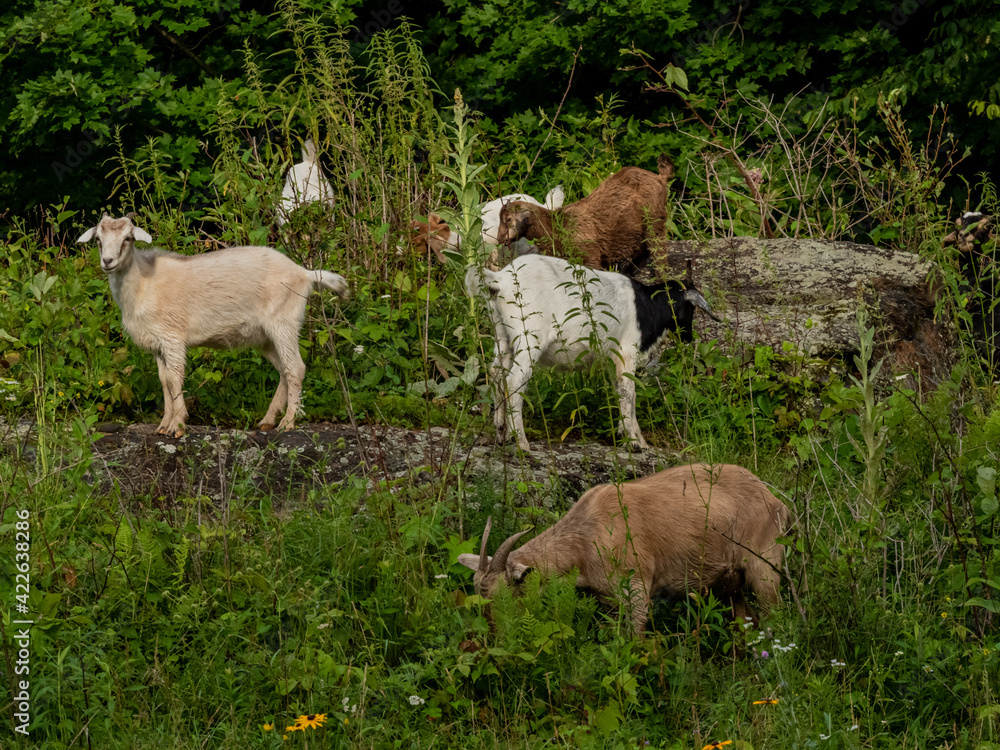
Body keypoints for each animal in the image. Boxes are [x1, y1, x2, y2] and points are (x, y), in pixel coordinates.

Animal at [77, 213, 349, 437]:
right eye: (98, 239)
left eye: (128, 238)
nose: (108, 261)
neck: (144, 283)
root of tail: (304, 273)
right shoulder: (157, 344)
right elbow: (164, 380)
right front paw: (163, 425)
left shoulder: (172, 338)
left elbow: (174, 379)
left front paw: (177, 426)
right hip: (266, 336)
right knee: (283, 370)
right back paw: (268, 420)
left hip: (284, 323)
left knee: (296, 368)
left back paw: (288, 423)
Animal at [458, 462, 790, 637]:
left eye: (506, 595)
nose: (492, 633)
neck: (587, 538)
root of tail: (775, 501)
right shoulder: (607, 599)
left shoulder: (637, 588)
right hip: (730, 584)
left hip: (764, 567)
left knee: (775, 614)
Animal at [465, 253, 720, 452]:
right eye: (690, 308)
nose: (689, 337)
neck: (648, 307)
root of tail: (501, 280)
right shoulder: (627, 351)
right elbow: (629, 392)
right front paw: (634, 442)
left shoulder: (612, 358)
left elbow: (621, 391)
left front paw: (635, 438)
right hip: (530, 337)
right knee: (514, 381)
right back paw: (521, 442)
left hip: (503, 336)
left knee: (497, 374)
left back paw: (501, 432)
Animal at [495, 156, 673, 270]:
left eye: (508, 219)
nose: (499, 238)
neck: (557, 226)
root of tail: (660, 177)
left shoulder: (590, 256)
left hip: (654, 223)